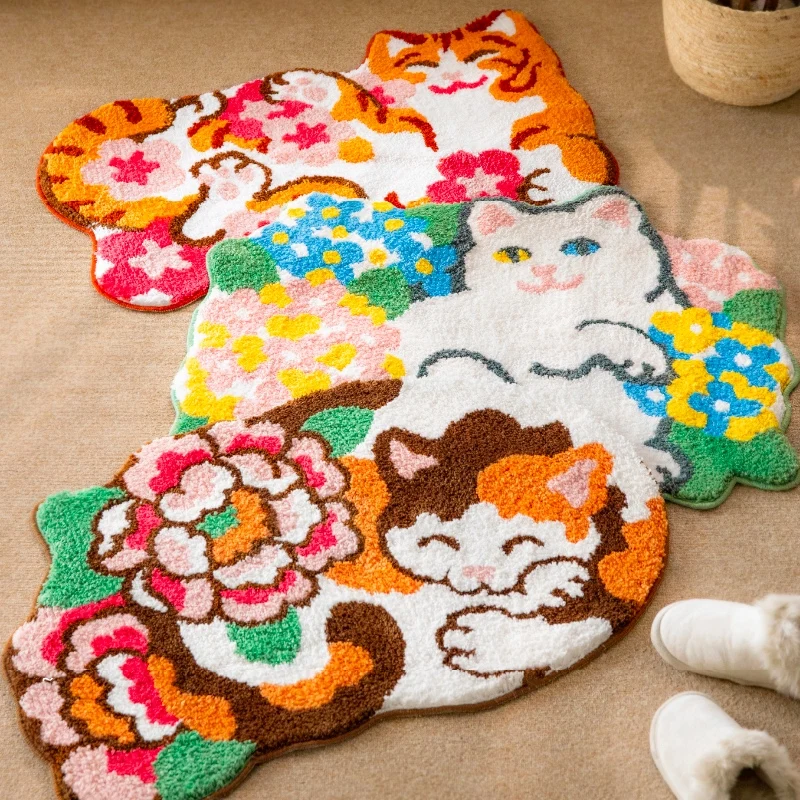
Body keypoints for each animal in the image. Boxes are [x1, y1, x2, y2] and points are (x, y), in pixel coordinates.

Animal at [38, 10, 617, 310]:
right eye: (421, 64)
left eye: (484, 56)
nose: (452, 78)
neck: (458, 113)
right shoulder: (394, 122)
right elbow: (361, 107)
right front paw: (308, 87)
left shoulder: (560, 138)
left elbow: (564, 161)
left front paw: (541, 184)